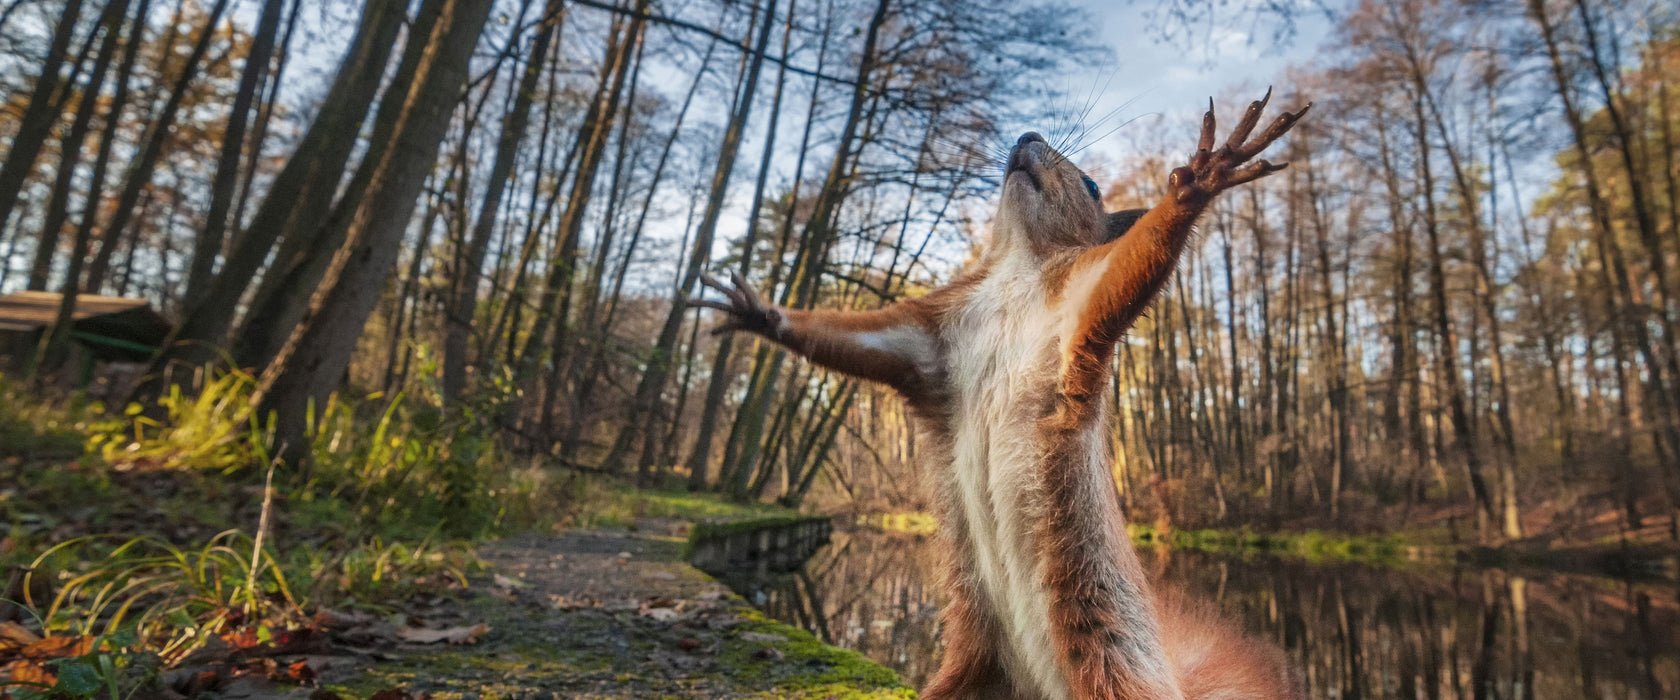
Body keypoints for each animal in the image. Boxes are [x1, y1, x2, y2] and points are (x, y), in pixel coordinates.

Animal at [688, 91, 1303, 698]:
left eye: (1092, 185)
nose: (1028, 136)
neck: (1015, 267)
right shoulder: (931, 343)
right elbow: (852, 339)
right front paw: (760, 313)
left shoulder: (1078, 306)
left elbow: (1131, 268)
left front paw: (1201, 179)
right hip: (970, 668)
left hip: (1105, 662)